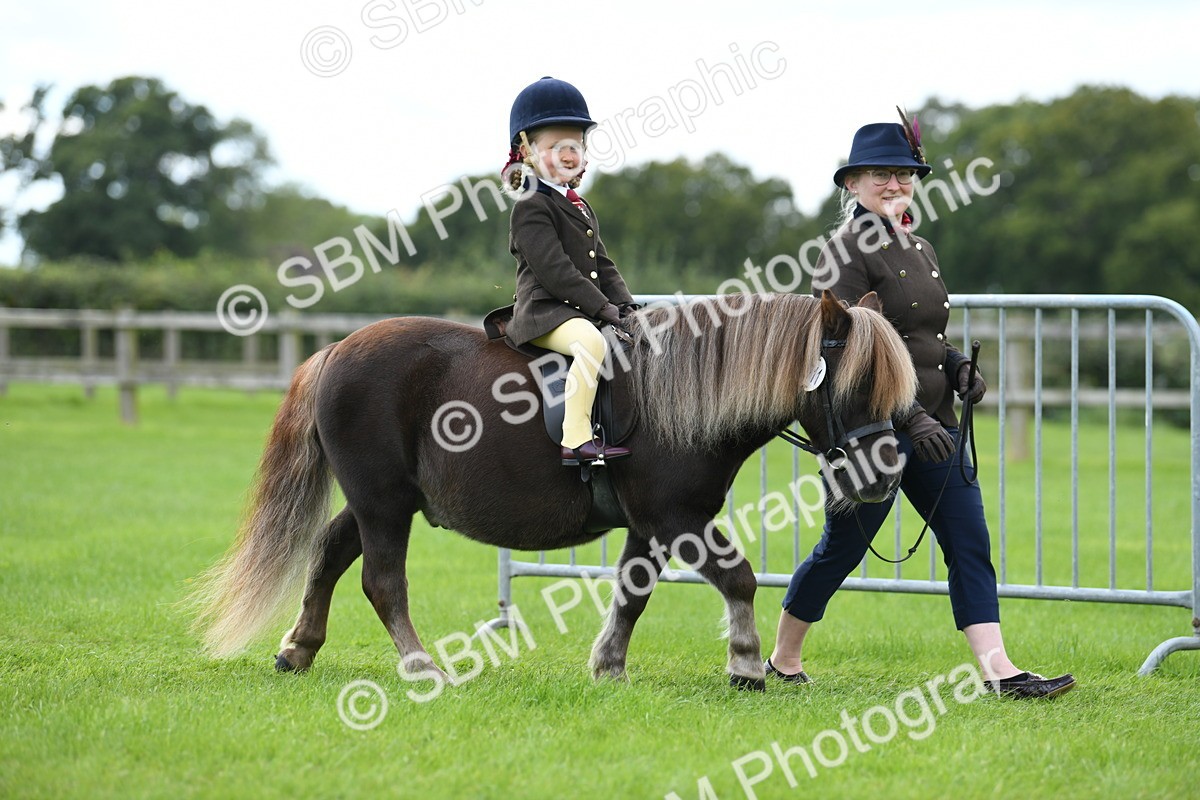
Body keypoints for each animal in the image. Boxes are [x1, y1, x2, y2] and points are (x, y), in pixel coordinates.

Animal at [192, 290, 917, 689]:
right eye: (856, 383)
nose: (884, 476)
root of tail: (334, 350)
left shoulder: (650, 526)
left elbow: (632, 594)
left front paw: (609, 666)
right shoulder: (676, 517)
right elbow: (737, 577)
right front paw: (744, 665)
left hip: (380, 500)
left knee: (329, 555)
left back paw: (298, 649)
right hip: (383, 503)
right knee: (381, 581)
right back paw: (422, 666)